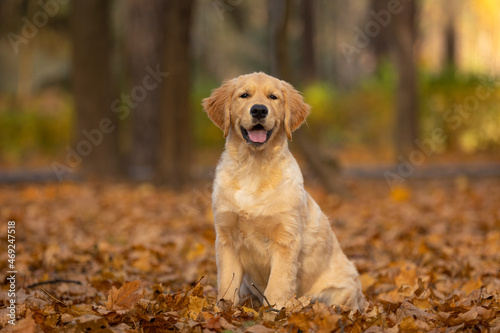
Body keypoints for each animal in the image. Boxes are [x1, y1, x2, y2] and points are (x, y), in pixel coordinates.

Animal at [201, 72, 366, 308]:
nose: (259, 110)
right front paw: (224, 309)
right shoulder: (225, 237)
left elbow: (277, 287)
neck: (254, 167)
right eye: (244, 95)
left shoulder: (286, 239)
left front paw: (274, 311)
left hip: (340, 292)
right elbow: (226, 284)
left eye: (273, 97)